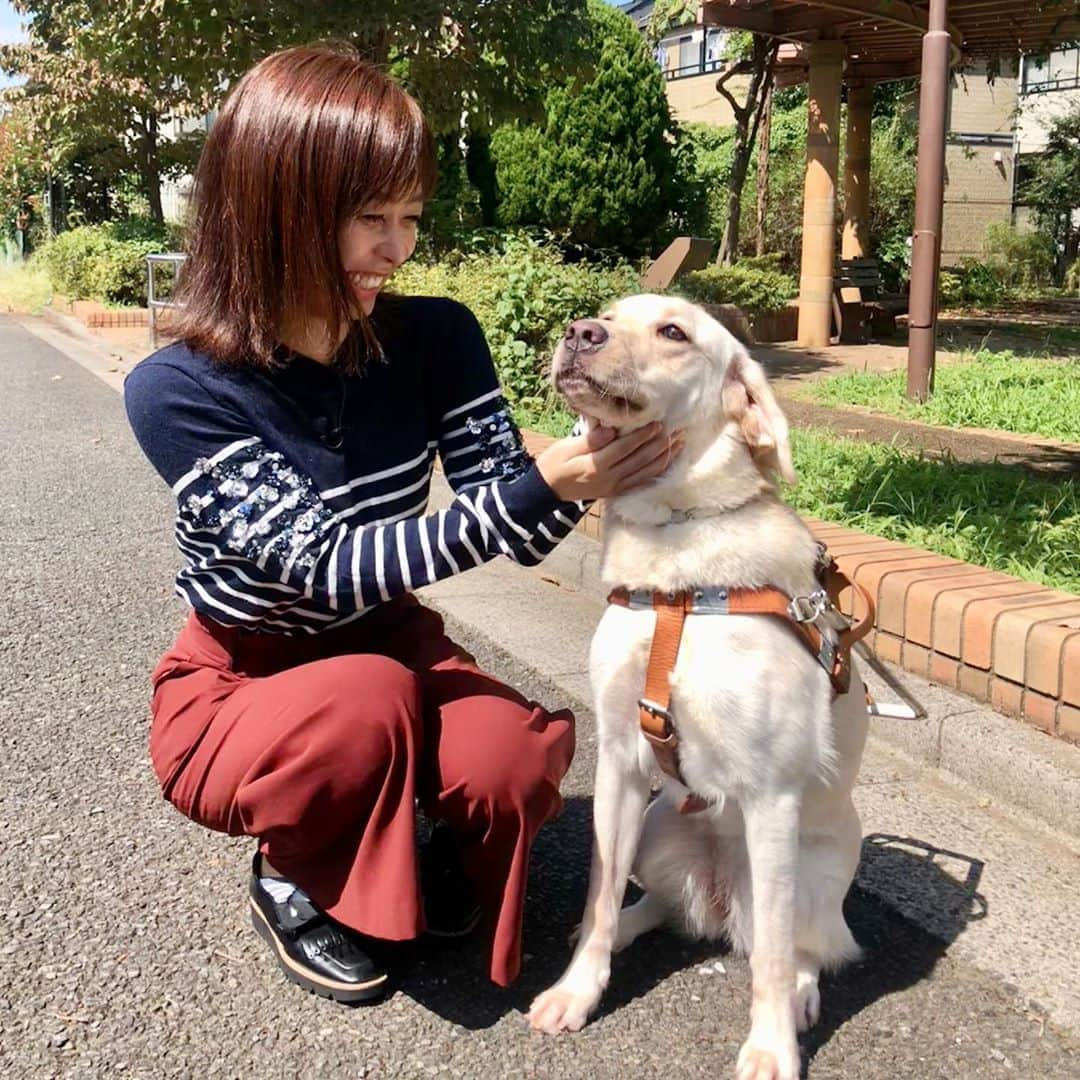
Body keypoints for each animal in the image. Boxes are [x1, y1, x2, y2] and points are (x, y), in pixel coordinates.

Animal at [529, 293, 868, 1080]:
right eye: (610, 313)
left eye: (674, 332)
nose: (579, 332)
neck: (676, 569)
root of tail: (717, 901)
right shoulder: (621, 759)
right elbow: (597, 890)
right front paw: (577, 991)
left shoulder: (772, 795)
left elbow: (770, 957)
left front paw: (770, 1049)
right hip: (661, 826)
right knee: (657, 902)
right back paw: (631, 925)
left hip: (815, 868)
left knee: (806, 946)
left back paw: (800, 998)